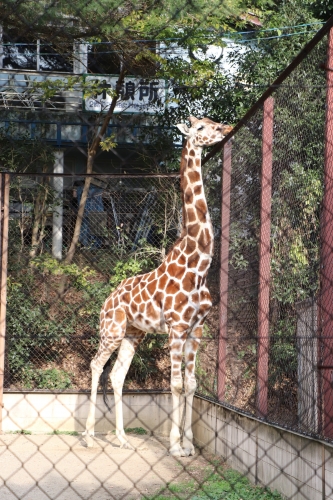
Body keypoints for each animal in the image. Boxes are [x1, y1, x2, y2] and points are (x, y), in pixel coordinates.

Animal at [83, 115, 231, 456]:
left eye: (212, 121)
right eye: (200, 127)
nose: (226, 129)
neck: (199, 266)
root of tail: (106, 300)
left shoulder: (196, 328)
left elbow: (191, 385)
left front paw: (189, 444)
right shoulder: (176, 327)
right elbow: (175, 384)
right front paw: (176, 445)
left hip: (133, 334)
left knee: (117, 375)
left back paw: (122, 438)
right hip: (111, 331)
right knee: (96, 365)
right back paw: (89, 436)